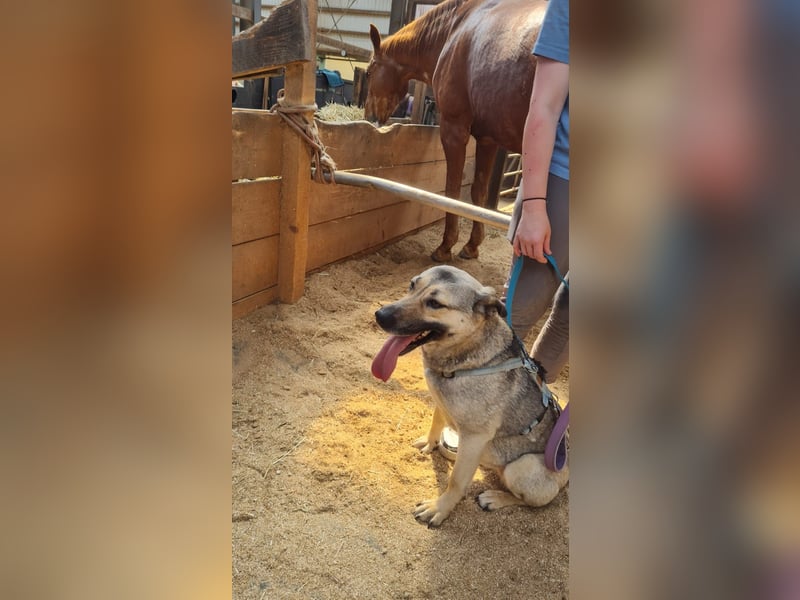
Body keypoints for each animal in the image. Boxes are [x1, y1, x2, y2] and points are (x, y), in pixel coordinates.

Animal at [365, 0, 547, 262]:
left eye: (369, 72)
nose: (368, 116)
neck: (455, 30)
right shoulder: (488, 140)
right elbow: (478, 191)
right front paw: (471, 245)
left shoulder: (454, 130)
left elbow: (452, 191)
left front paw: (445, 247)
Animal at [372, 265, 568, 527]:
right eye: (412, 285)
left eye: (435, 303)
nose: (380, 315)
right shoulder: (441, 402)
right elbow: (436, 422)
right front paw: (430, 442)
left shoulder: (474, 438)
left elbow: (455, 481)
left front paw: (440, 508)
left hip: (521, 467)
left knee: (530, 501)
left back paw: (495, 498)